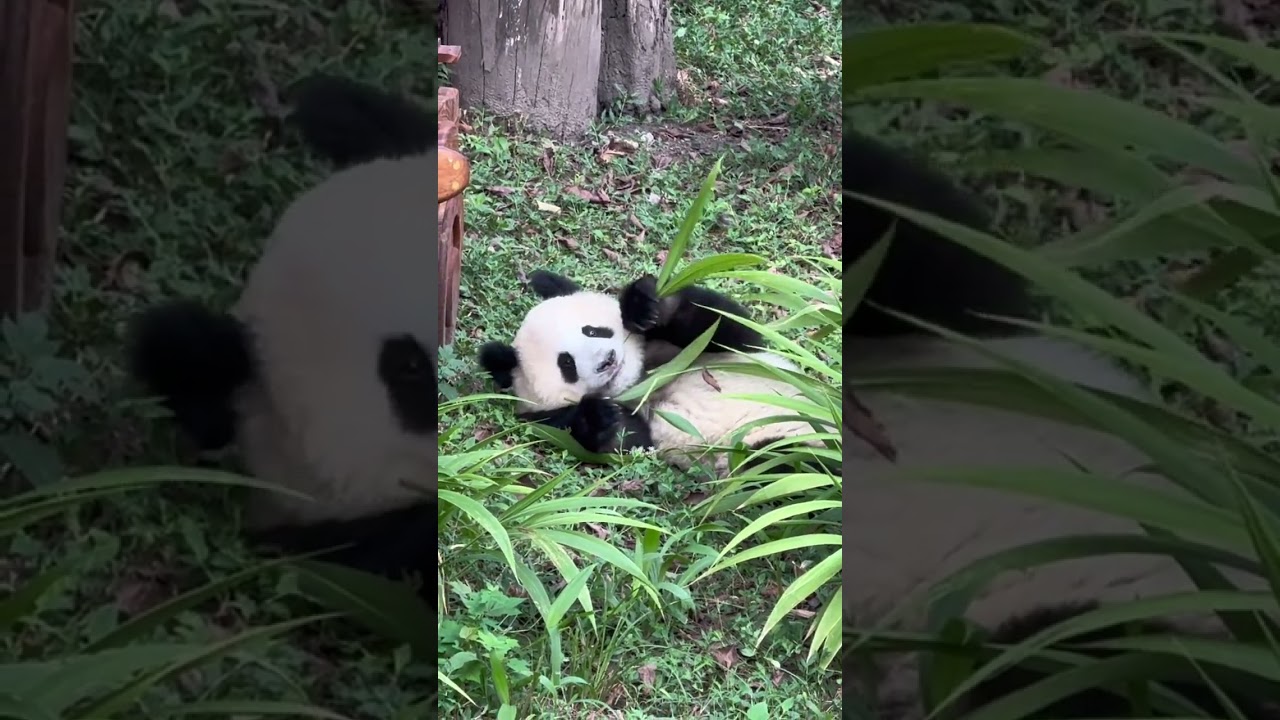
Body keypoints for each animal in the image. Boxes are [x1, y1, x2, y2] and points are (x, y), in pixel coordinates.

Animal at [476, 270, 832, 475]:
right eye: (567, 364)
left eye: (592, 330)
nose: (607, 360)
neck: (642, 379)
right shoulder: (549, 421)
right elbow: (625, 443)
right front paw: (599, 418)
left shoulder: (693, 351)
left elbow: (729, 329)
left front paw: (644, 304)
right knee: (782, 464)